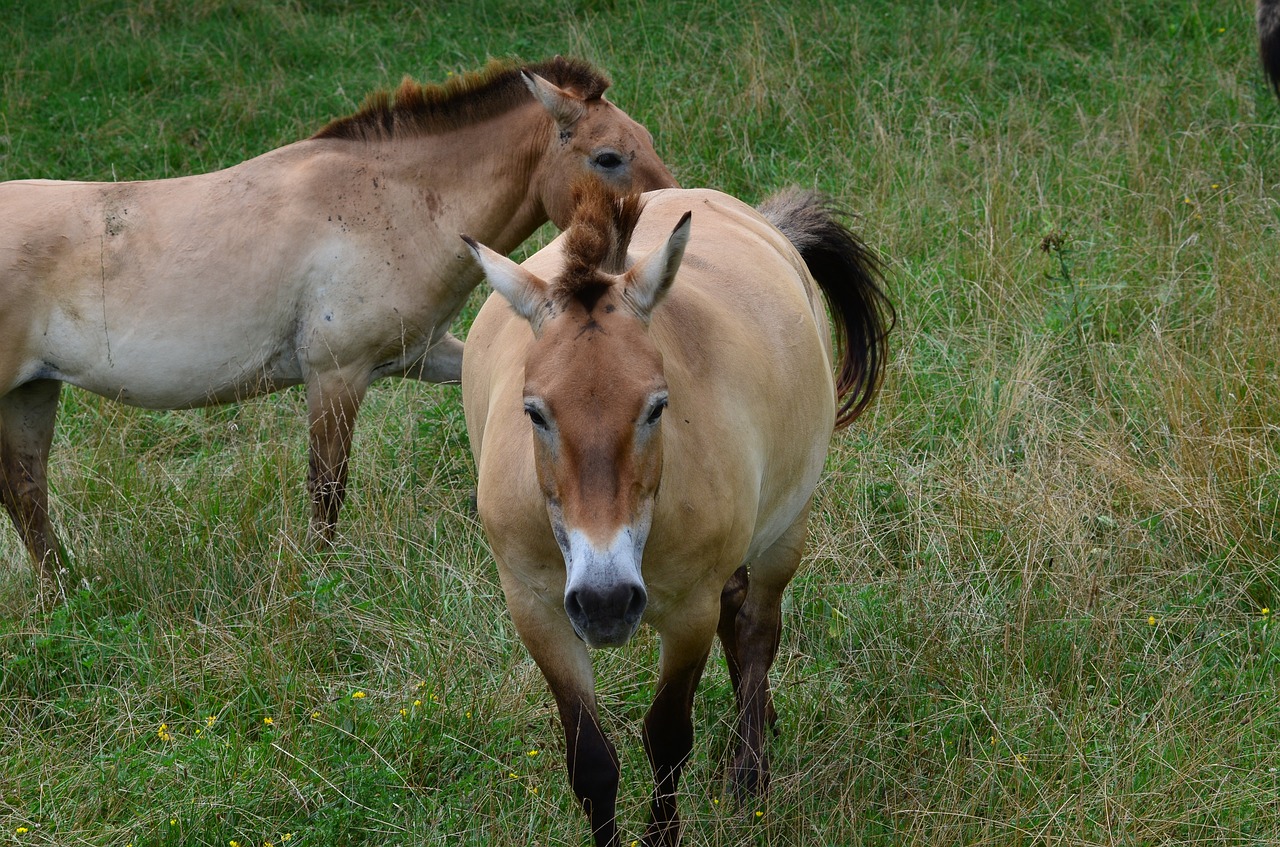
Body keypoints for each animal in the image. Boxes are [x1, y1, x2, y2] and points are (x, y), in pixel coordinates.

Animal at [0, 56, 675, 601]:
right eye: (608, 157)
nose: (681, 214)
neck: (398, 204)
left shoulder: (420, 354)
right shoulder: (335, 375)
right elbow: (326, 489)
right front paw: (322, 584)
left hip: (32, 393)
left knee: (26, 494)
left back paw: (68, 592)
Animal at [460, 180, 890, 847]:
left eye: (657, 405)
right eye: (533, 411)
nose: (606, 602)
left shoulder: (689, 612)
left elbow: (666, 739)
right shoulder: (537, 610)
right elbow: (590, 762)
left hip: (784, 533)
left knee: (757, 628)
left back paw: (749, 768)